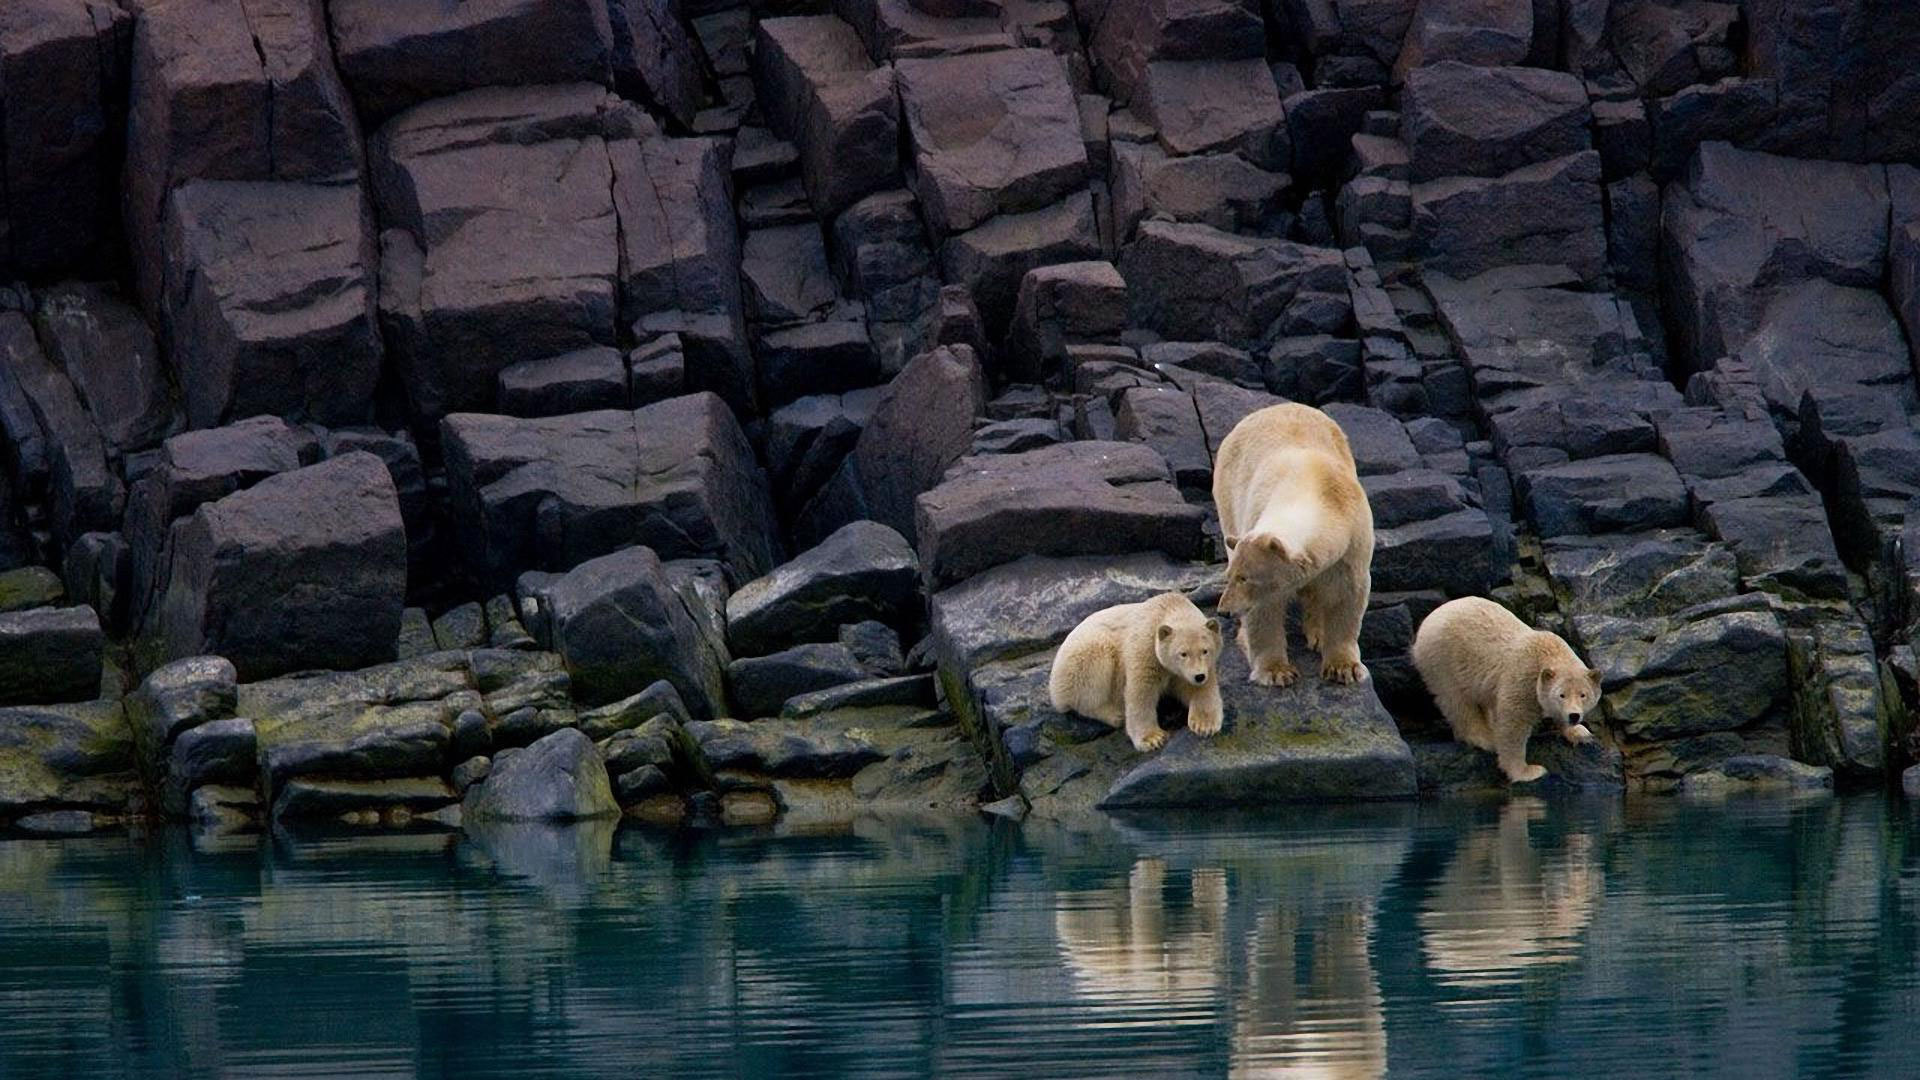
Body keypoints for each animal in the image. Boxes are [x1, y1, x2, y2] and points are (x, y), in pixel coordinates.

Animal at [1044, 588, 1221, 749]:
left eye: (1205, 651)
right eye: (1183, 653)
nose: (1199, 676)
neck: (1168, 606)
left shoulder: (1197, 669)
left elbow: (1201, 689)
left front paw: (1204, 725)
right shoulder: (1145, 649)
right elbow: (1141, 691)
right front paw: (1152, 738)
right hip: (1081, 656)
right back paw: (1114, 714)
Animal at [1205, 399, 1374, 684]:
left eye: (1244, 578)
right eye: (1232, 576)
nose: (1224, 611)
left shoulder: (1352, 543)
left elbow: (1347, 594)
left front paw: (1344, 667)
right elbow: (1264, 608)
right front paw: (1276, 671)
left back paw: (1318, 634)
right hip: (1227, 493)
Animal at [1413, 595, 1605, 780]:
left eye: (1583, 695)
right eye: (1561, 695)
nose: (1574, 716)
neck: (1548, 653)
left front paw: (1581, 733)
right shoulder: (1523, 680)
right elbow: (1513, 722)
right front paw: (1528, 771)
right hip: (1443, 660)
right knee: (1457, 701)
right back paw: (1486, 737)